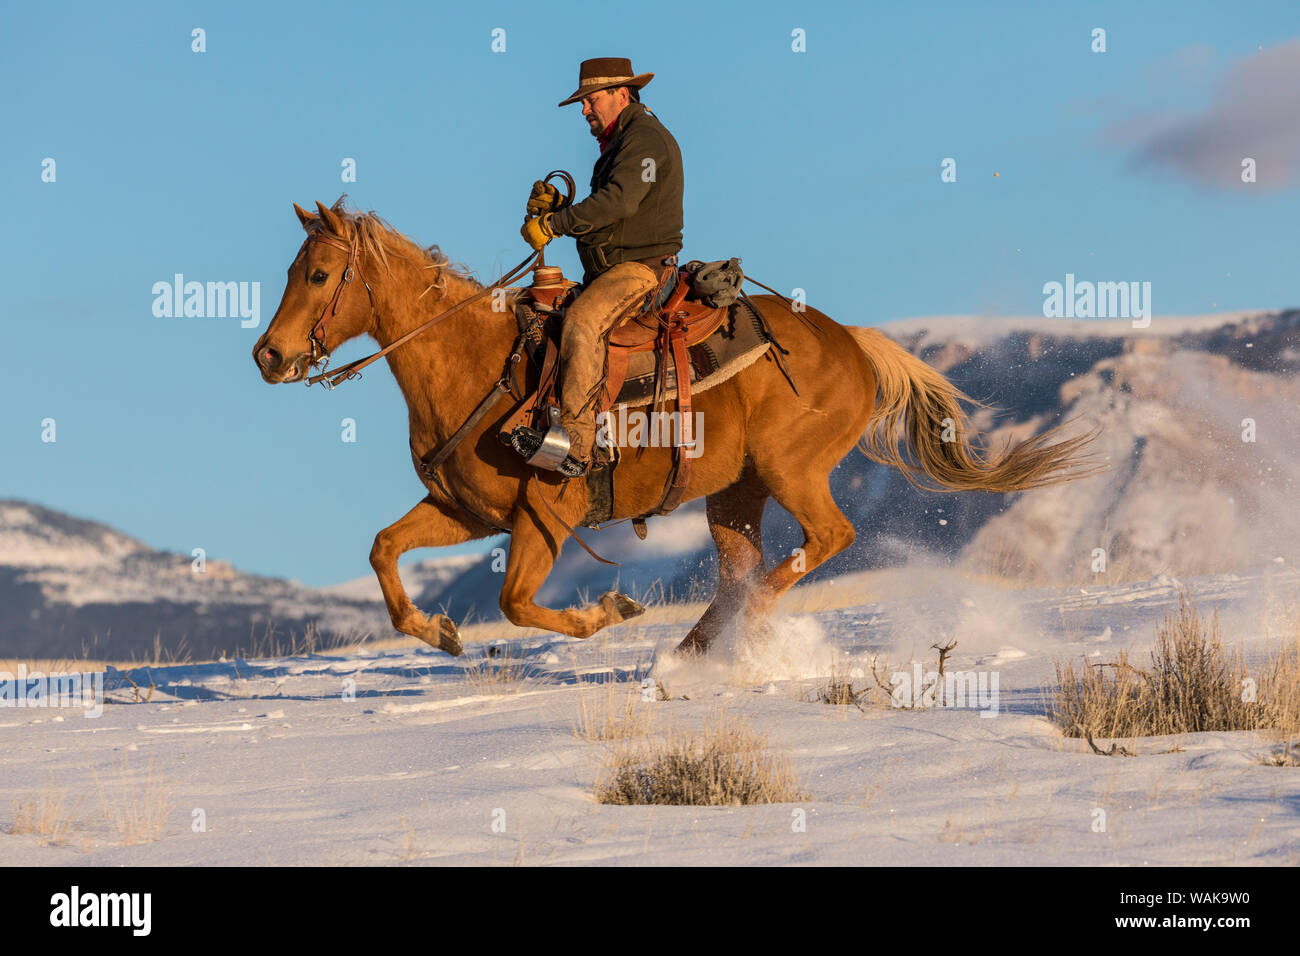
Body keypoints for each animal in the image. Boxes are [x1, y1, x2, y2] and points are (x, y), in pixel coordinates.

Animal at [253, 200, 1098, 657]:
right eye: (292, 270)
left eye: (320, 274)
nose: (269, 355)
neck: (478, 364)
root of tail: (854, 343)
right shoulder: (467, 512)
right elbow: (384, 550)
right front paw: (440, 633)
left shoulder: (545, 514)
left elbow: (518, 603)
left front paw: (608, 612)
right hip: (734, 494)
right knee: (738, 572)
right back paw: (692, 651)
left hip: (793, 471)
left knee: (826, 541)